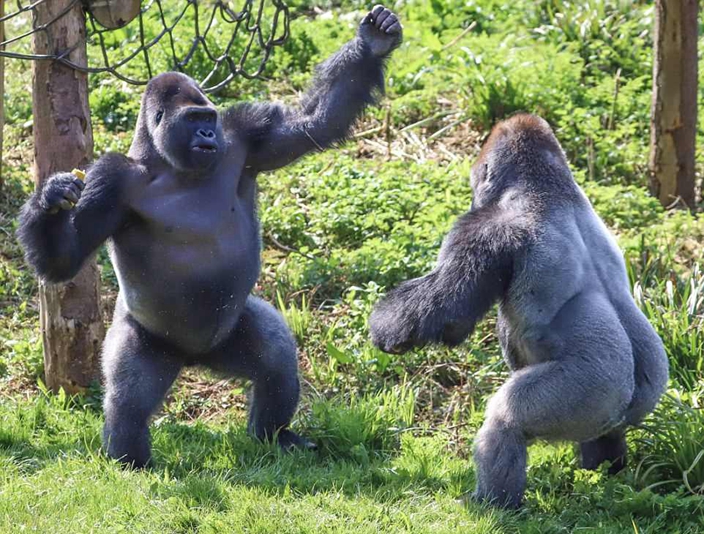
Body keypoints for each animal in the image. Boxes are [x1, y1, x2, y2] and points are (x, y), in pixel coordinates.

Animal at [17, 5, 402, 468]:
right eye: (192, 120)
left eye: (209, 119)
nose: (205, 135)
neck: (168, 163)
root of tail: (195, 360)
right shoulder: (111, 179)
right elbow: (65, 260)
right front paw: (51, 200)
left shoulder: (244, 133)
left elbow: (315, 122)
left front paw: (372, 44)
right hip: (149, 342)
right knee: (129, 400)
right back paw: (131, 461)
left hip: (229, 335)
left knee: (274, 359)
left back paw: (274, 435)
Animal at [372, 114, 668, 510]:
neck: (549, 187)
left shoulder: (483, 229)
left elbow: (448, 315)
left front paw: (385, 329)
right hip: (636, 395)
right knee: (605, 435)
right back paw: (604, 473)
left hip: (591, 392)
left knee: (505, 419)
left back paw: (493, 502)